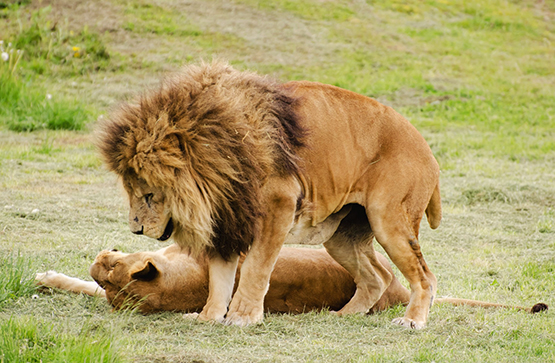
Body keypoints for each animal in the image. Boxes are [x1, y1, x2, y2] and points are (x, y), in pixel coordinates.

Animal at [95, 61, 444, 330]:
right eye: (131, 191)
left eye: (149, 195)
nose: (135, 229)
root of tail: (428, 151)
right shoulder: (228, 219)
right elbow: (219, 278)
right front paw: (208, 317)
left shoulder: (278, 206)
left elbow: (255, 268)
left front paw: (242, 317)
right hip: (342, 237)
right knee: (378, 276)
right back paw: (343, 315)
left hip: (388, 218)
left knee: (425, 276)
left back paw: (412, 321)